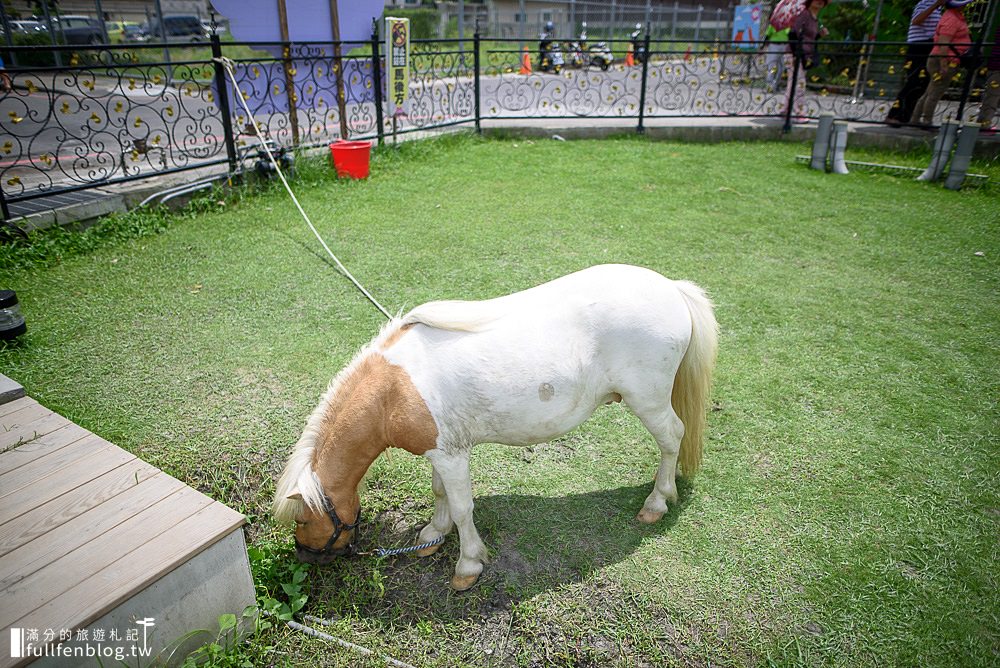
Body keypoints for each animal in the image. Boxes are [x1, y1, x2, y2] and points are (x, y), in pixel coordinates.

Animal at [274, 264, 720, 588]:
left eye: (302, 520)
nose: (305, 557)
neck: (394, 390)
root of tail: (671, 288)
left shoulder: (453, 456)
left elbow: (462, 507)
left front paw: (467, 565)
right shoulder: (440, 451)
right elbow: (440, 493)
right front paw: (433, 535)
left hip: (648, 401)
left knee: (672, 438)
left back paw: (657, 502)